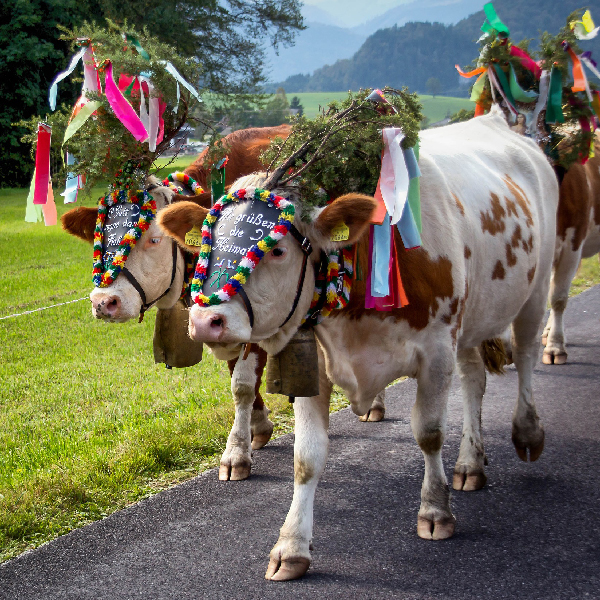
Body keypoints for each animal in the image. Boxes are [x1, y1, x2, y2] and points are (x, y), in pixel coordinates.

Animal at [157, 110, 560, 580]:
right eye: (207, 241)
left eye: (275, 249)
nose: (206, 321)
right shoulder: (316, 363)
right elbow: (307, 457)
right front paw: (291, 545)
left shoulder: (436, 352)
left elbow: (429, 433)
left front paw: (435, 511)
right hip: (472, 320)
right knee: (475, 380)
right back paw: (469, 463)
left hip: (534, 289)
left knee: (527, 356)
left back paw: (527, 432)